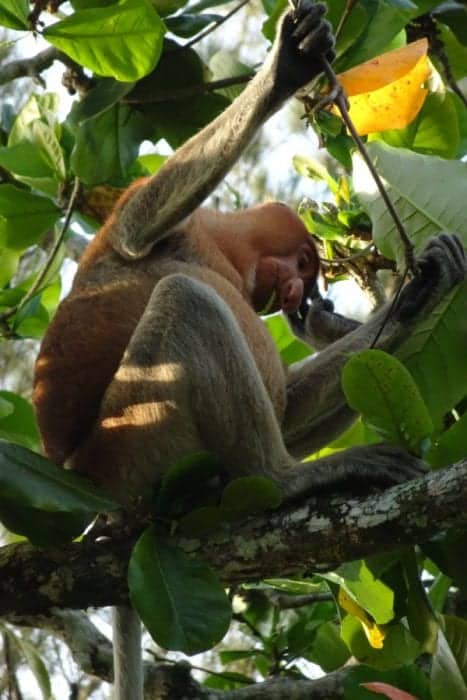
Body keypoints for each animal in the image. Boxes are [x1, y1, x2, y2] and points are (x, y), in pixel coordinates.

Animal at [31, 1, 465, 698]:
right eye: (306, 260)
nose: (296, 292)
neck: (223, 253)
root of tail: (92, 488)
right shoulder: (162, 220)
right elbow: (138, 232)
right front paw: (288, 64)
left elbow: (287, 406)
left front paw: (424, 287)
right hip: (137, 440)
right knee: (188, 300)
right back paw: (288, 479)